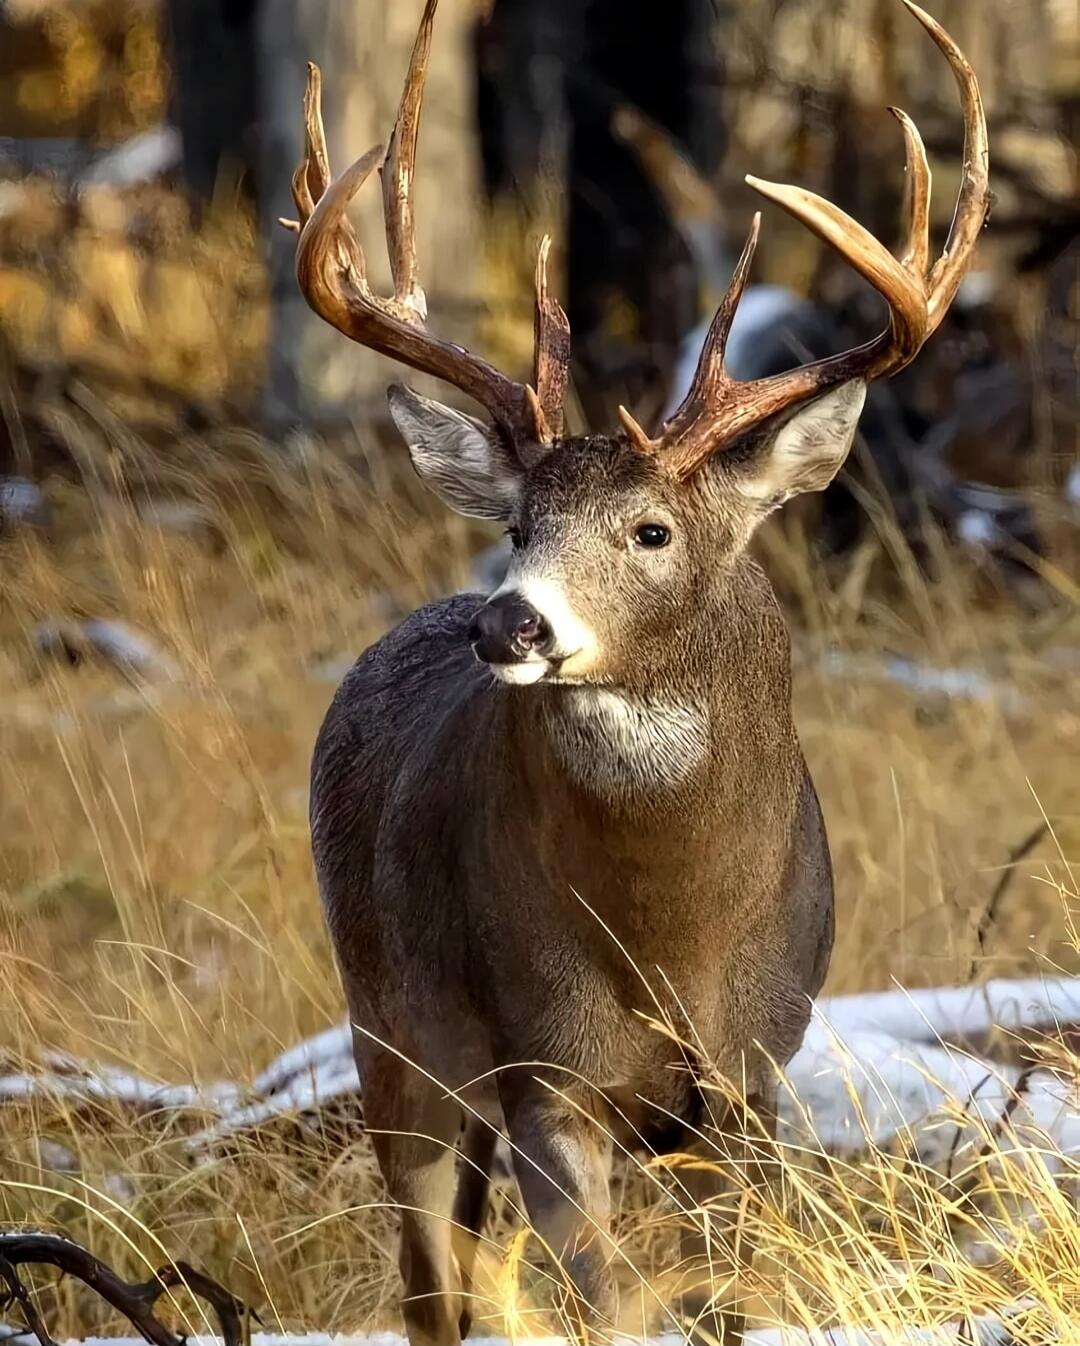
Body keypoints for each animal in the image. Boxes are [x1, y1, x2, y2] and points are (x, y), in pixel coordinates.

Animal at [288, 1, 988, 1341]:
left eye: (651, 531)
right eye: (520, 521)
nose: (508, 624)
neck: (671, 928)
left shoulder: (757, 1069)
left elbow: (732, 1292)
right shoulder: (544, 1069)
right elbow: (610, 1298)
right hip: (389, 1032)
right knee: (433, 1282)